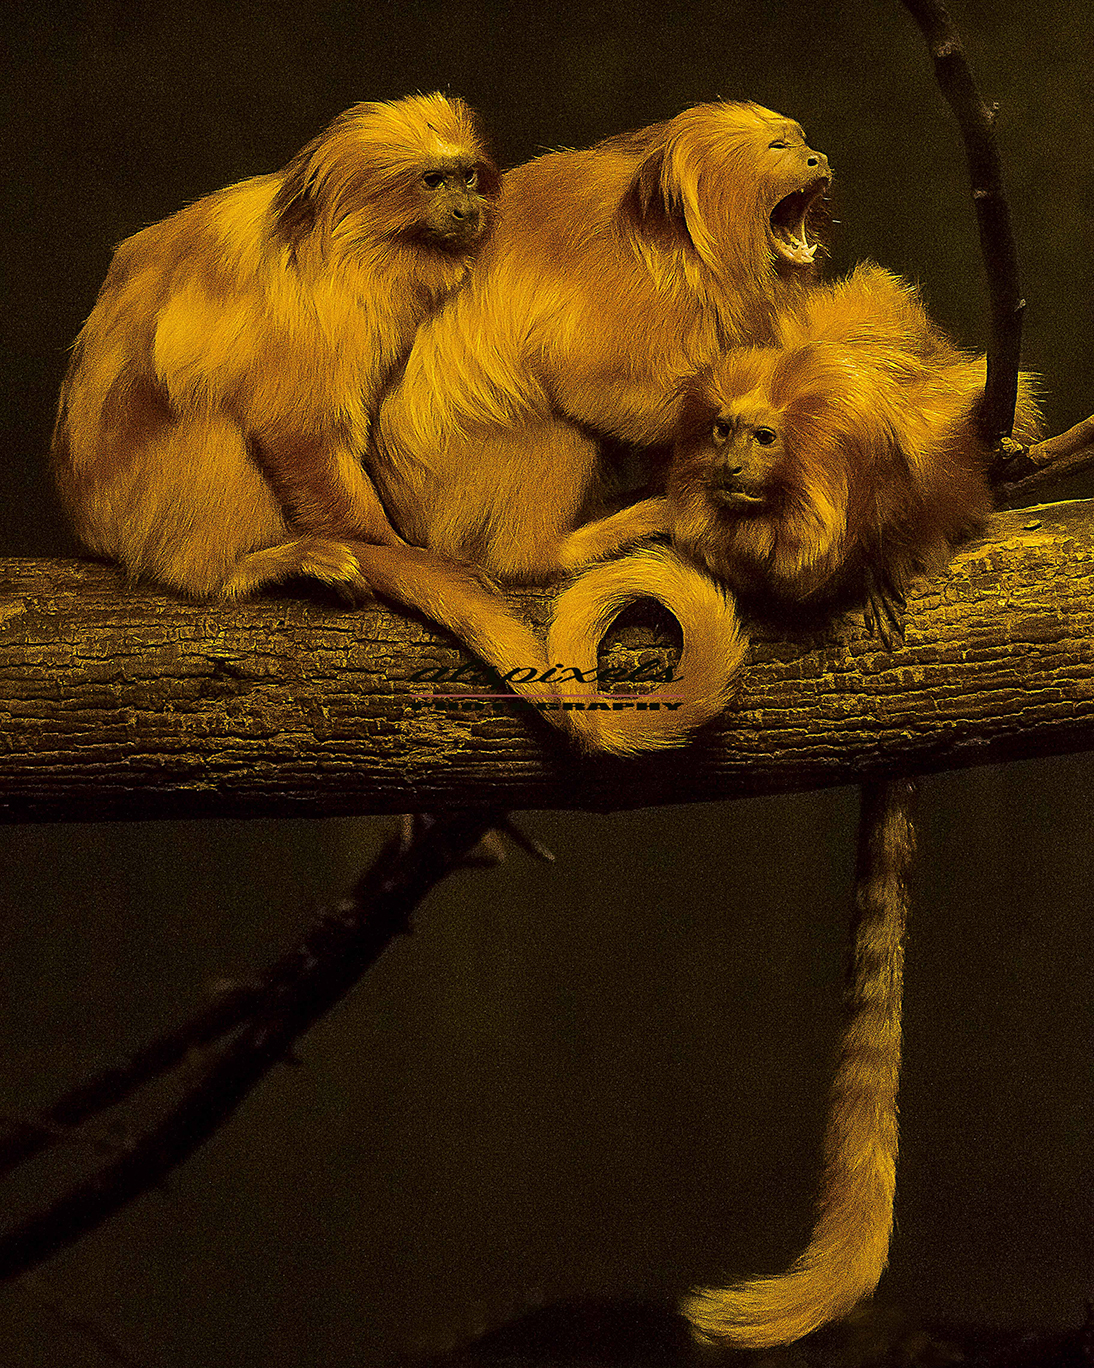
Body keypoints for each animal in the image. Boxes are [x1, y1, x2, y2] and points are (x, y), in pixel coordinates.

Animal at [51, 88, 495, 596]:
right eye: (433, 181)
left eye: (467, 177)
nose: (466, 209)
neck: (351, 243)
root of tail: (90, 529)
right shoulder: (322, 317)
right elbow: (297, 431)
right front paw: (400, 551)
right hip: (133, 514)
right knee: (209, 412)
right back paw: (237, 568)